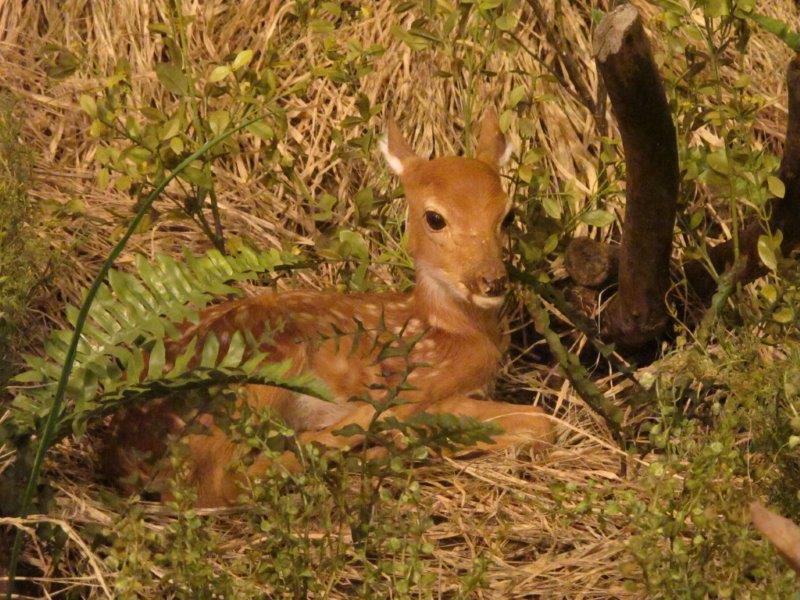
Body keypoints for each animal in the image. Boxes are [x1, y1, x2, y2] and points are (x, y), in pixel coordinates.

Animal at [102, 109, 555, 507]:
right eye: (435, 218)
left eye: (507, 215)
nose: (491, 281)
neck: (450, 330)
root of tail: (122, 448)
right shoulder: (421, 383)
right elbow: (539, 421)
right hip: (258, 373)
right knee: (221, 484)